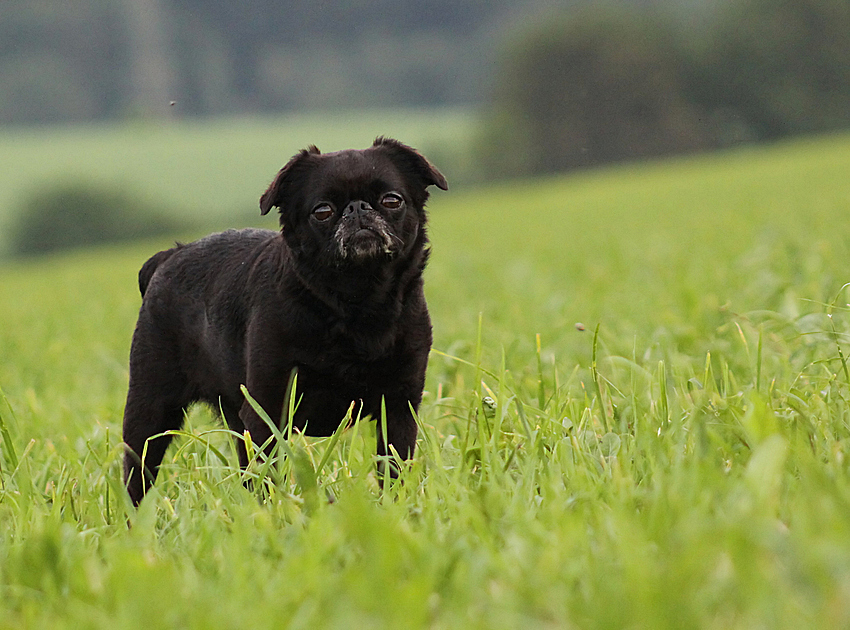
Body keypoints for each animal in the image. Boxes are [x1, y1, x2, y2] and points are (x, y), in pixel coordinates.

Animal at [125, 139, 448, 508]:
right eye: (322, 211)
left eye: (392, 201)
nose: (357, 208)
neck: (357, 302)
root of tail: (168, 257)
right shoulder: (267, 411)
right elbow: (268, 474)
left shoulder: (398, 408)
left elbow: (394, 471)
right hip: (150, 413)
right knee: (137, 476)